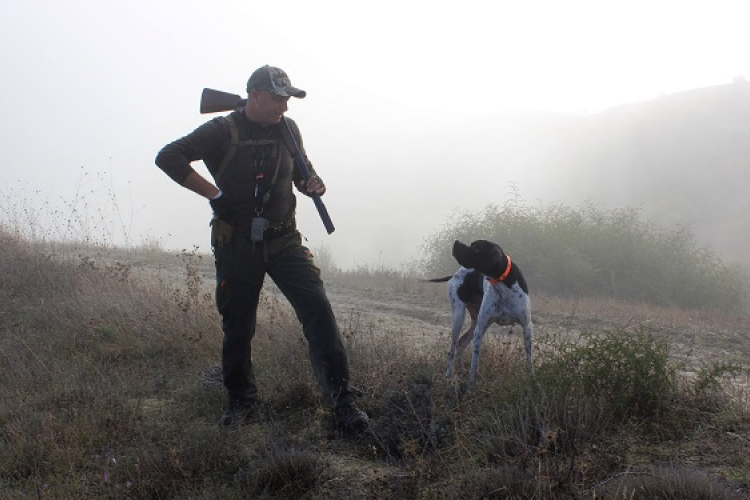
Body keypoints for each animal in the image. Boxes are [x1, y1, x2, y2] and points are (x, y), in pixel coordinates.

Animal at [428, 238, 536, 382]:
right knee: (452, 348)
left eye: (476, 249)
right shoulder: (480, 329)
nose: (456, 242)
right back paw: (449, 375)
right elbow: (474, 364)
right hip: (459, 318)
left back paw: (460, 370)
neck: (502, 283)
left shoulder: (527, 327)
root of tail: (454, 274)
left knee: (461, 343)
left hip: (474, 322)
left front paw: (530, 377)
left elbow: (529, 360)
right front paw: (471, 383)